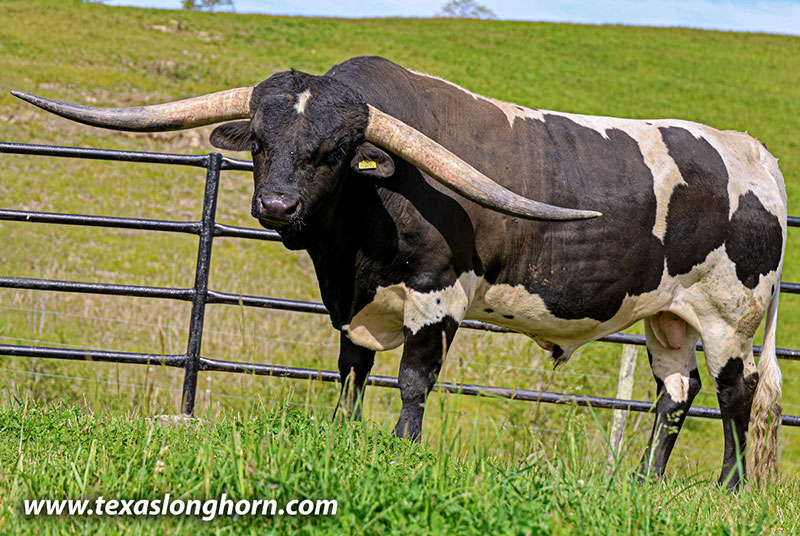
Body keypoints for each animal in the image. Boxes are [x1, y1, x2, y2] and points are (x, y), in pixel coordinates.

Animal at [13, 55, 786, 487]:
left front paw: (402, 450)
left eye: (334, 151)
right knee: (675, 395)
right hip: (668, 320)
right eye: (259, 141)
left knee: (737, 397)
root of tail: (758, 156)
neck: (352, 247)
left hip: (729, 318)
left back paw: (729, 488)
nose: (276, 204)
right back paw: (642, 484)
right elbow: (352, 373)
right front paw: (347, 437)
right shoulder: (352, 304)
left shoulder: (437, 292)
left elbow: (413, 381)